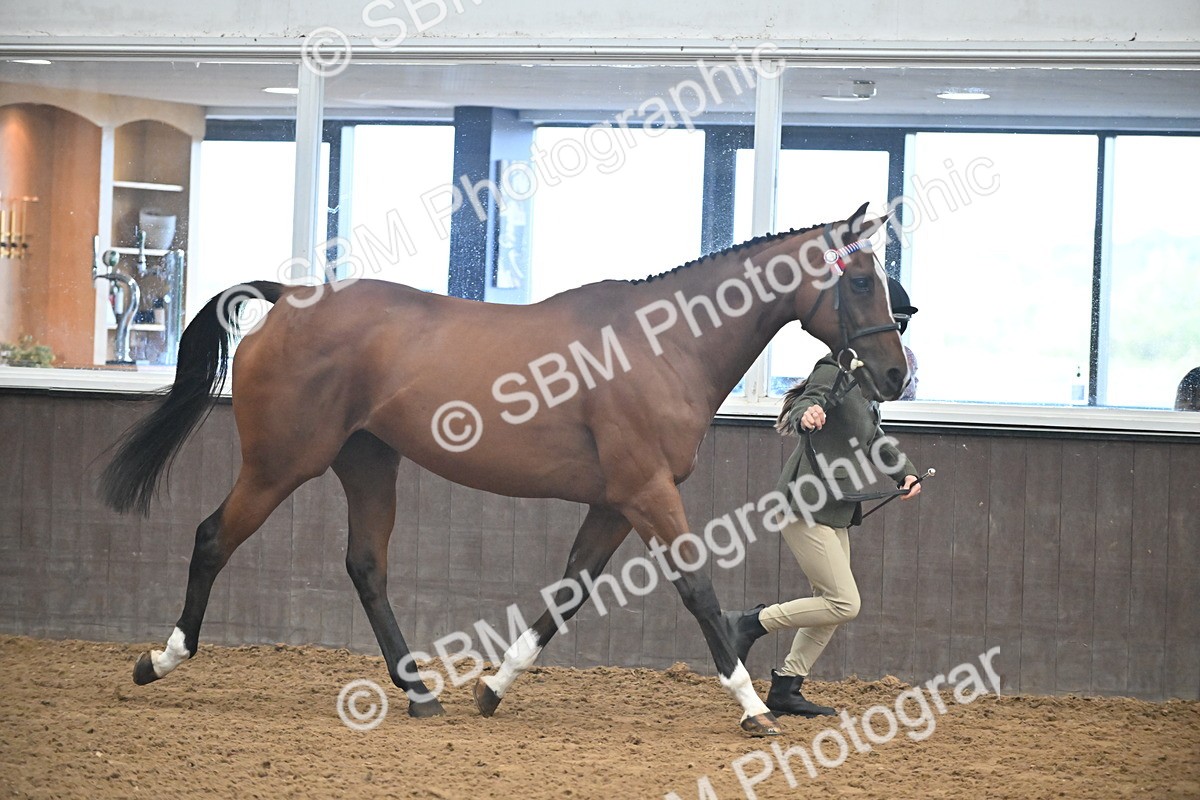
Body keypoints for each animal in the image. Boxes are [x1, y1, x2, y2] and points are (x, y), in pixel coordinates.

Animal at [100, 202, 908, 737]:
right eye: (860, 281)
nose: (897, 374)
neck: (665, 344)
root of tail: (291, 300)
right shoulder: (647, 493)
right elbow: (698, 591)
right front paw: (751, 707)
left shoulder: (616, 501)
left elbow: (569, 591)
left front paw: (492, 689)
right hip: (281, 463)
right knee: (213, 538)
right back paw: (160, 660)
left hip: (368, 462)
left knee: (366, 565)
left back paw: (420, 693)